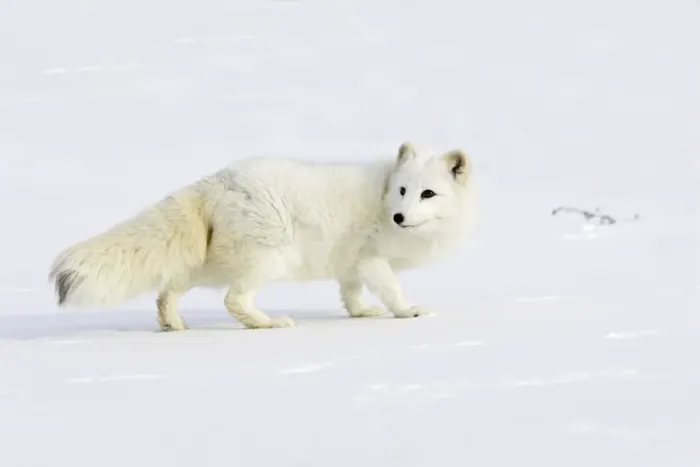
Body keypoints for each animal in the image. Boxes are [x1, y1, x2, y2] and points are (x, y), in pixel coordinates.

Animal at [49, 142, 477, 331]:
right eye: (403, 190)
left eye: (427, 193)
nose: (399, 216)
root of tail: (217, 180)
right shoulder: (372, 259)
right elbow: (391, 289)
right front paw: (408, 312)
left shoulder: (351, 263)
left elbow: (351, 293)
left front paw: (360, 313)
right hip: (268, 258)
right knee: (233, 300)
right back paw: (269, 323)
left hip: (215, 261)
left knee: (170, 286)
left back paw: (173, 323)